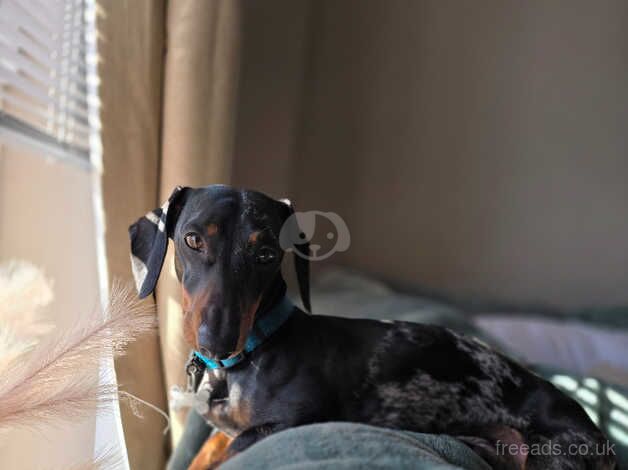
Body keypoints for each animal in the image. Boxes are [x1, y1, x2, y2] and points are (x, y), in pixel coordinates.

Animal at [130, 185, 616, 468]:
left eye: (266, 253)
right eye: (193, 239)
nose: (217, 340)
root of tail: (595, 431)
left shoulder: (291, 421)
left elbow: (230, 452)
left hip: (553, 457)